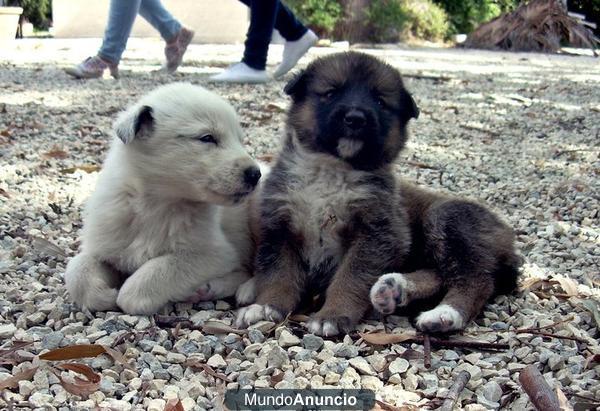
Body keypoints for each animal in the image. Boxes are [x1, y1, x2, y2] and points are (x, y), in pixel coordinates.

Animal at [64, 83, 264, 316]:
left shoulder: (214, 254)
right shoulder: (105, 244)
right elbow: (76, 268)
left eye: (240, 140)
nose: (255, 174)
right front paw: (103, 295)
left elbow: (151, 275)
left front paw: (127, 295)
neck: (154, 206)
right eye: (207, 138)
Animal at [236, 51, 520, 336]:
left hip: (447, 217)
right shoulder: (280, 228)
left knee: (475, 278)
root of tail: (507, 235)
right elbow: (279, 275)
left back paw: (445, 315)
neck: (332, 170)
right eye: (331, 92)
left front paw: (333, 314)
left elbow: (350, 277)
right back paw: (394, 289)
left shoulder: (377, 233)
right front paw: (267, 306)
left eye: (381, 102)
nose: (355, 118)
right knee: (439, 274)